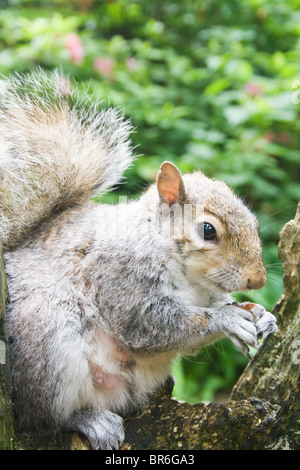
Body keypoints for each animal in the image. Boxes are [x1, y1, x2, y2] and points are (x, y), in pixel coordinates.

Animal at [0, 70, 276, 448]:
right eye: (207, 230)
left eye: (254, 223)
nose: (258, 280)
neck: (192, 282)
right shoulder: (120, 275)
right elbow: (149, 325)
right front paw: (228, 319)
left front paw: (261, 315)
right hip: (45, 338)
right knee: (42, 417)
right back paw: (89, 420)